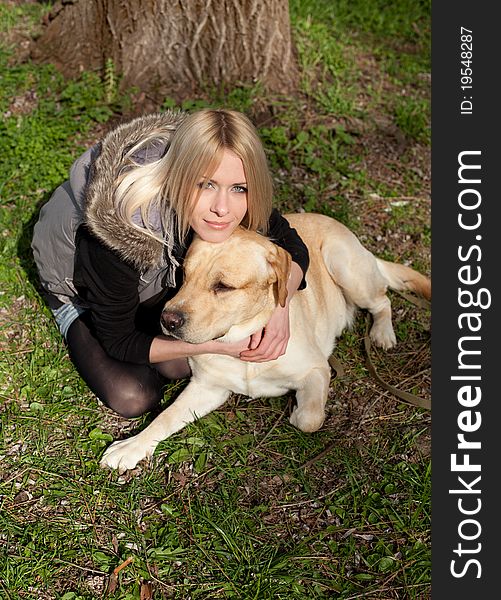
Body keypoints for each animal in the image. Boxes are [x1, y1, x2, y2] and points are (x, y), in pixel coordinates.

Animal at [100, 212, 430, 474]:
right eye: (184, 274)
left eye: (223, 286)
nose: (167, 320)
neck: (242, 337)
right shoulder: (207, 387)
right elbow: (164, 417)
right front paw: (131, 447)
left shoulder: (317, 369)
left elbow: (310, 418)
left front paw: (295, 410)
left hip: (343, 265)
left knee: (383, 300)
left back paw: (382, 334)